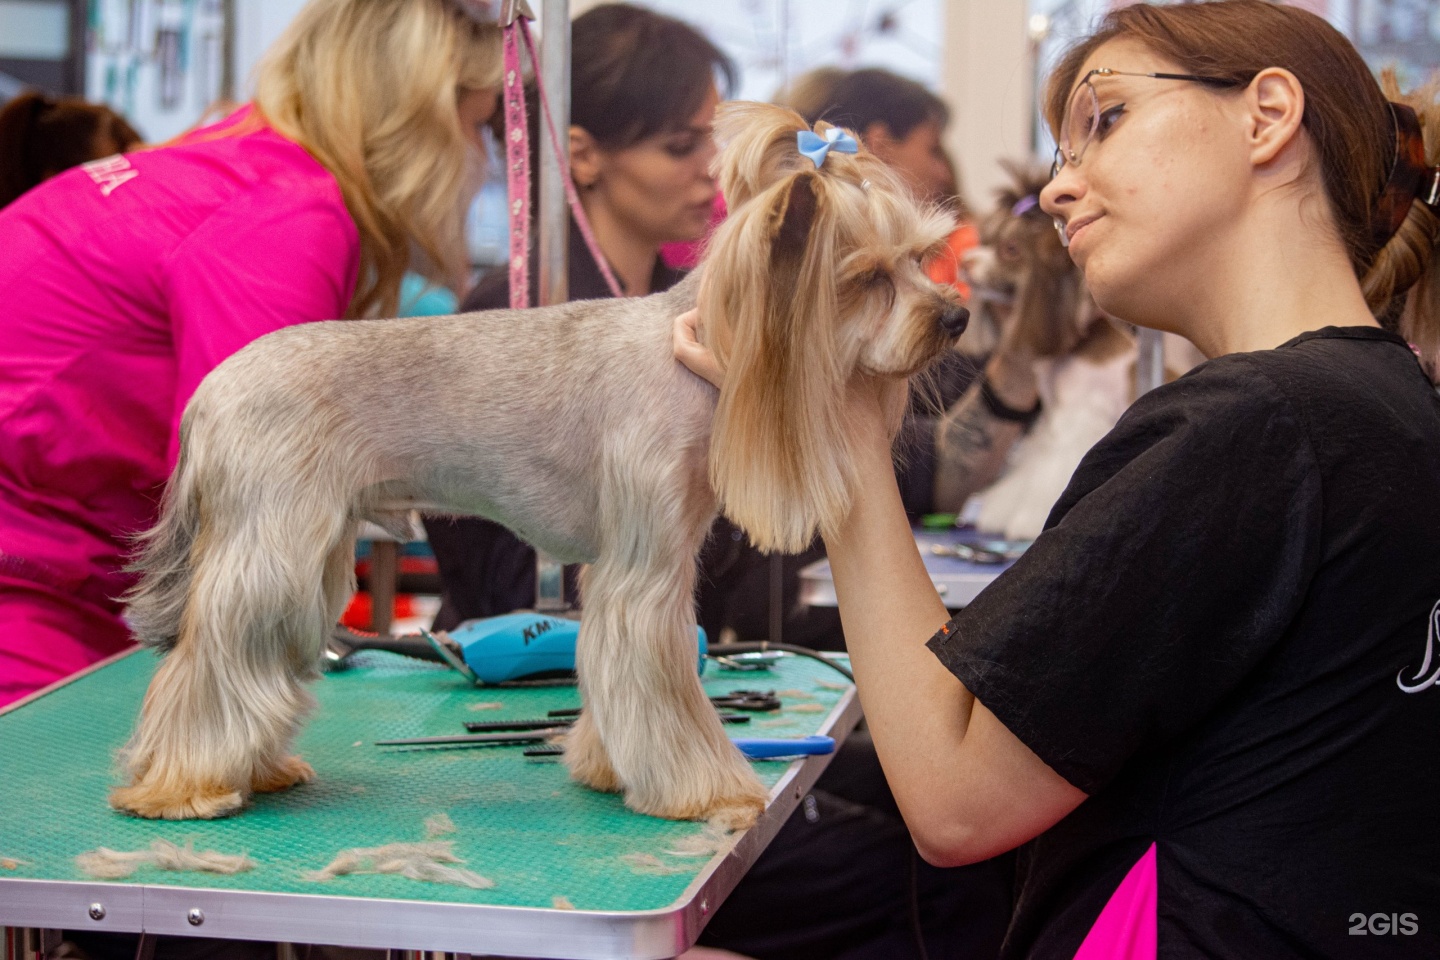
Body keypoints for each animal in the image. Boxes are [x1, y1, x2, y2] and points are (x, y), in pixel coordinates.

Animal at [109, 103, 967, 829]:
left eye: (924, 259)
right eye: (868, 278)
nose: (956, 315)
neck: (696, 355)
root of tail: (210, 392)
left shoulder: (619, 572)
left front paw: (602, 764)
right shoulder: (647, 571)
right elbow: (663, 688)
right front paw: (707, 790)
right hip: (273, 547)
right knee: (211, 660)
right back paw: (183, 785)